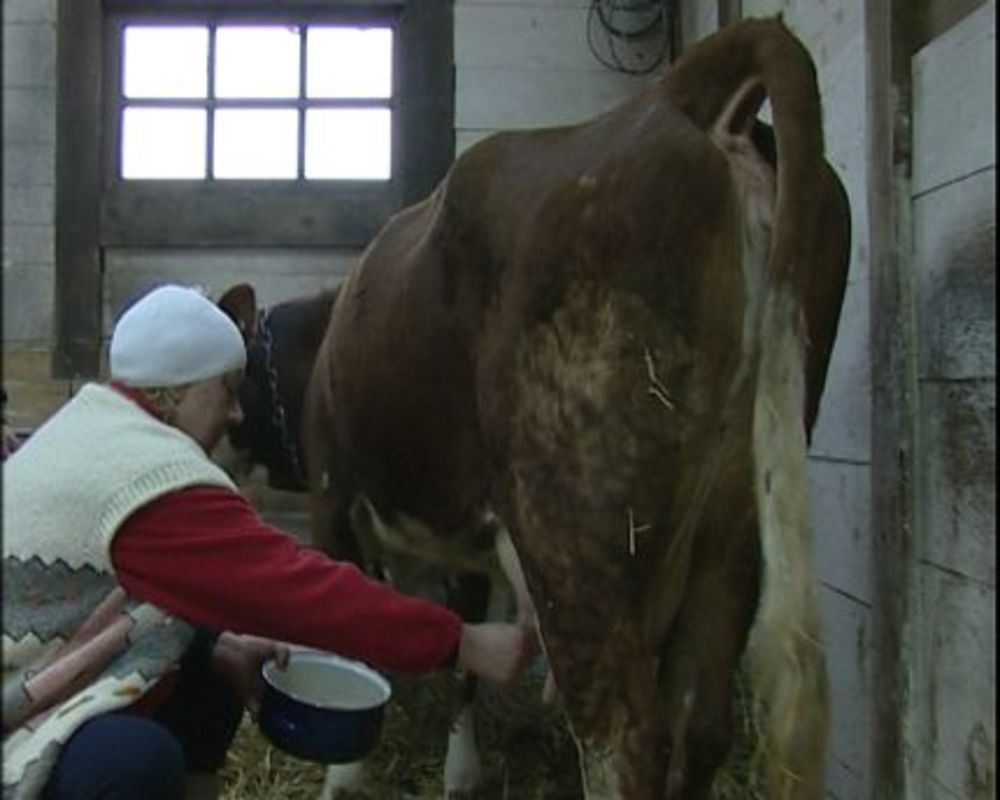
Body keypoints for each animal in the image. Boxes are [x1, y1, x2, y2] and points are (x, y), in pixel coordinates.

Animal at [223, 18, 848, 800]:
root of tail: (672, 99)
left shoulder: (337, 496)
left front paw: (344, 776)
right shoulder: (458, 530)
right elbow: (461, 660)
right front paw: (461, 771)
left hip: (577, 527)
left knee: (624, 739)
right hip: (733, 526)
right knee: (700, 721)